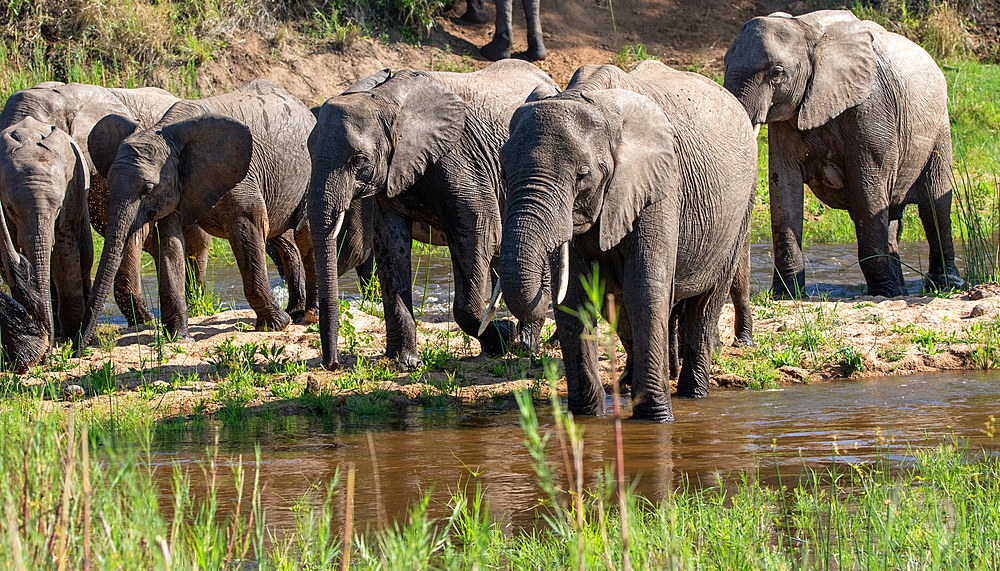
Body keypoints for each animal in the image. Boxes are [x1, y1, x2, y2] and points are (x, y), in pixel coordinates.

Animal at [79, 78, 318, 350]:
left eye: (147, 188)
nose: (78, 348)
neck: (165, 133)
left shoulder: (241, 178)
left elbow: (248, 229)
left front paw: (275, 325)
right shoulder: (176, 185)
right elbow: (170, 244)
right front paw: (179, 337)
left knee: (304, 235)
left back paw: (309, 315)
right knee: (282, 238)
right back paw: (296, 312)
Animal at [308, 58, 560, 370]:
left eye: (359, 160)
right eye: (308, 152)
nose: (332, 365)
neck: (386, 101)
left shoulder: (461, 160)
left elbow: (480, 232)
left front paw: (503, 338)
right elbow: (390, 244)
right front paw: (404, 363)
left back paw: (526, 344)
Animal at [500, 62, 756, 422]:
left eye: (582, 175)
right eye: (504, 171)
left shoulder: (661, 185)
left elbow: (646, 288)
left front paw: (655, 418)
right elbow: (576, 295)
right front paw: (585, 417)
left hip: (740, 212)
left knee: (705, 308)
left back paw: (693, 395)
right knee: (623, 312)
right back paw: (626, 385)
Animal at [724, 10, 964, 300]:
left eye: (777, 73)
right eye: (725, 63)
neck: (805, 29)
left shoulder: (871, 108)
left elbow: (868, 190)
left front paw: (881, 293)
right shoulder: (788, 117)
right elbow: (784, 189)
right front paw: (787, 296)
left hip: (939, 127)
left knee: (933, 206)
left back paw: (943, 286)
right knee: (892, 216)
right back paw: (900, 291)